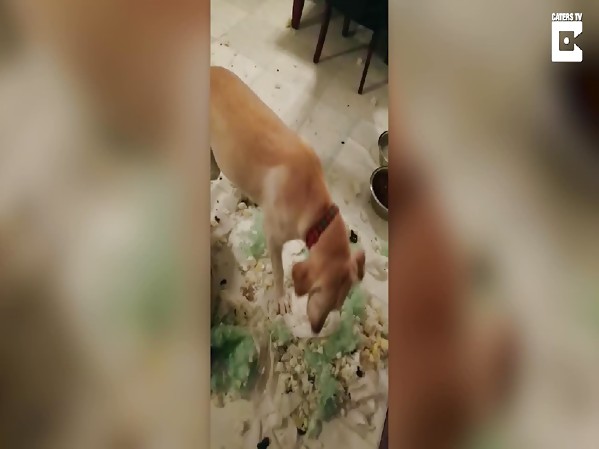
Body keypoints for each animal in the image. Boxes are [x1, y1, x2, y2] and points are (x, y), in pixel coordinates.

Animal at [210, 66, 365, 333]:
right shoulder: (273, 239)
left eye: (336, 307)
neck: (318, 212)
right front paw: (281, 299)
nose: (316, 330)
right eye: (318, 297)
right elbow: (280, 272)